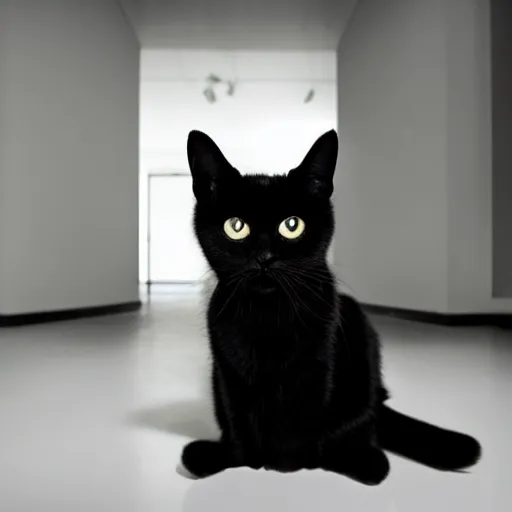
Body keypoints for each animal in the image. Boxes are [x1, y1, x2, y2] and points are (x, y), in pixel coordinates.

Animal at [182, 129, 482, 484]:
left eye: (292, 225)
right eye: (236, 226)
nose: (264, 257)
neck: (269, 314)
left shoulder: (319, 366)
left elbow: (304, 423)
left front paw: (288, 466)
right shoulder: (229, 373)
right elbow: (238, 422)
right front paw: (246, 462)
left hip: (361, 345)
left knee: (361, 425)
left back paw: (364, 460)